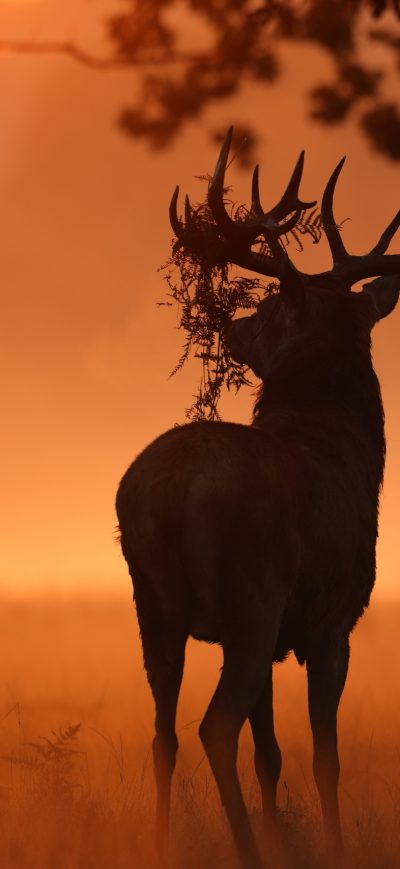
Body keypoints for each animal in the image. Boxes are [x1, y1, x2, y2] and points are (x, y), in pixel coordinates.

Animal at [116, 127, 400, 869]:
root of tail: (168, 491)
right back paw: (246, 853)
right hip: (252, 593)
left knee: (164, 731)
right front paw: (330, 844)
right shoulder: (333, 619)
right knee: (215, 725)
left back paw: (160, 846)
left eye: (269, 311)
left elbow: (270, 754)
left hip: (152, 605)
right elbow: (324, 757)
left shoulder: (282, 635)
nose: (234, 325)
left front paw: (283, 830)